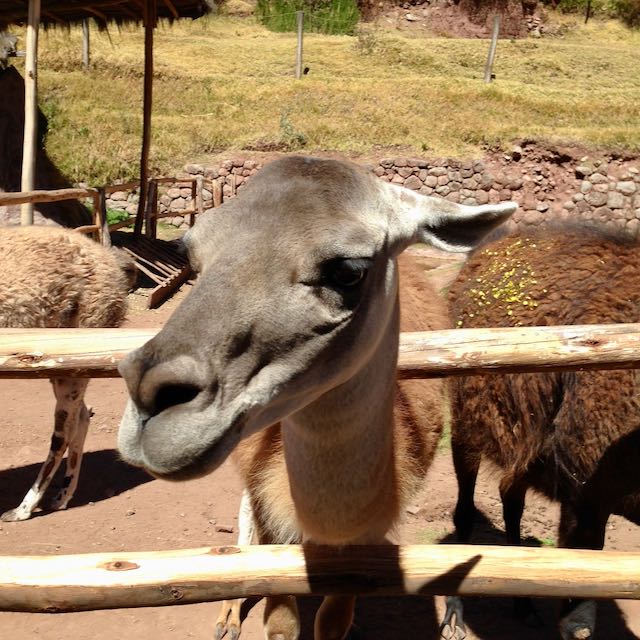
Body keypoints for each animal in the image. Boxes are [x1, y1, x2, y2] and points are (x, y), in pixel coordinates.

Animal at [117, 155, 516, 640]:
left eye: (348, 270)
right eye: (191, 254)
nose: (147, 392)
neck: (329, 523)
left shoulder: (361, 547)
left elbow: (332, 621)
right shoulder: (272, 522)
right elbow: (280, 618)